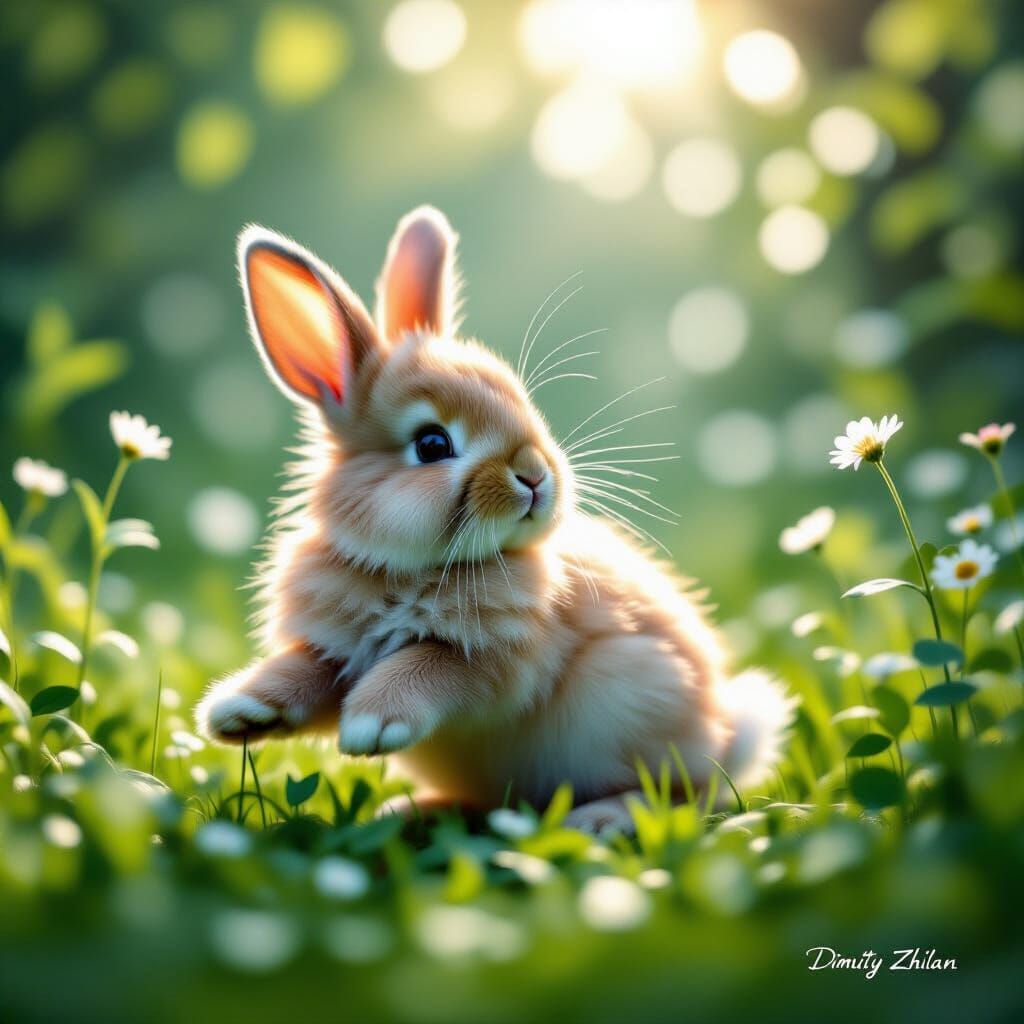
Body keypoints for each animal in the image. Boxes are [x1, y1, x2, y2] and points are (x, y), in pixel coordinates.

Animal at [196, 206, 795, 834]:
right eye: (432, 444)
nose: (534, 474)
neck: (411, 568)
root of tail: (727, 739)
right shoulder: (338, 652)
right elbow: (307, 673)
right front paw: (237, 713)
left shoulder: (497, 662)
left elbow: (428, 665)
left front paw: (371, 722)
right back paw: (413, 810)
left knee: (687, 794)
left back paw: (601, 818)